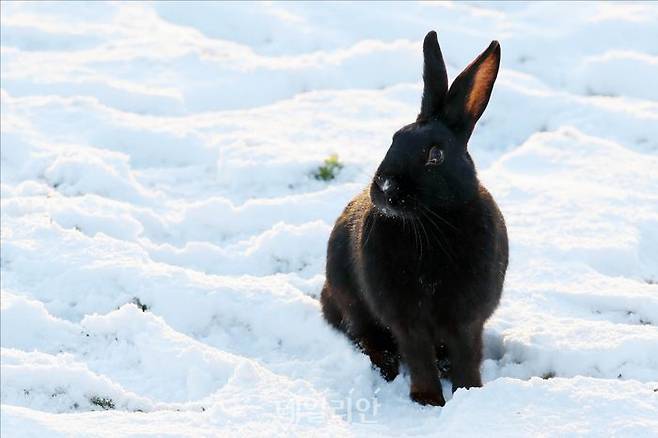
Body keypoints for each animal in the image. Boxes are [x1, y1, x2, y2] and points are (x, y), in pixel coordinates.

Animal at [320, 31, 508, 408]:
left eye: (435, 155)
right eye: (394, 138)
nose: (385, 188)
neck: (429, 224)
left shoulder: (467, 319)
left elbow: (467, 353)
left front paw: (469, 391)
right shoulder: (406, 317)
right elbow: (418, 355)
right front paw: (428, 400)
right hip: (350, 302)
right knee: (365, 336)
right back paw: (385, 367)